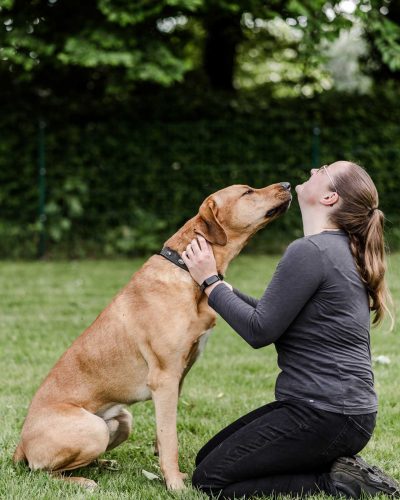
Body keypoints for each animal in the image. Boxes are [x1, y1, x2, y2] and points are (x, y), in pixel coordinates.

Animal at [14, 182, 292, 490]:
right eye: (247, 192)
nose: (287, 185)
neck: (185, 270)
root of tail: (20, 445)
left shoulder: (178, 378)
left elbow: (164, 434)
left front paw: (170, 474)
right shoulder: (165, 378)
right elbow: (170, 438)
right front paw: (175, 485)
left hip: (123, 419)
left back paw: (103, 464)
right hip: (93, 429)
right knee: (44, 471)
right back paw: (83, 481)